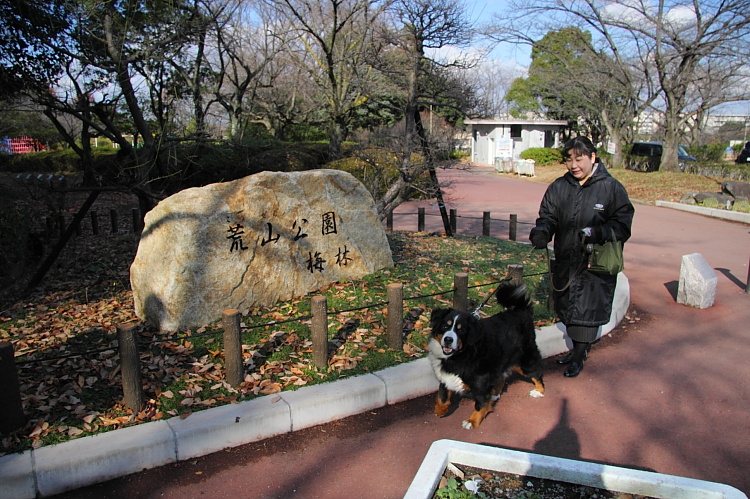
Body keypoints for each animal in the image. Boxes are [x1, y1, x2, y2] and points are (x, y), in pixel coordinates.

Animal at [428, 286, 548, 430]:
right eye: (445, 325)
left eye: (461, 330)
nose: (448, 340)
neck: (461, 354)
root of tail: (521, 311)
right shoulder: (446, 376)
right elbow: (442, 397)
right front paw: (440, 410)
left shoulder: (481, 381)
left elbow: (480, 404)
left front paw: (472, 421)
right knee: (501, 376)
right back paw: (495, 394)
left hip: (524, 361)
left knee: (537, 373)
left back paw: (539, 391)